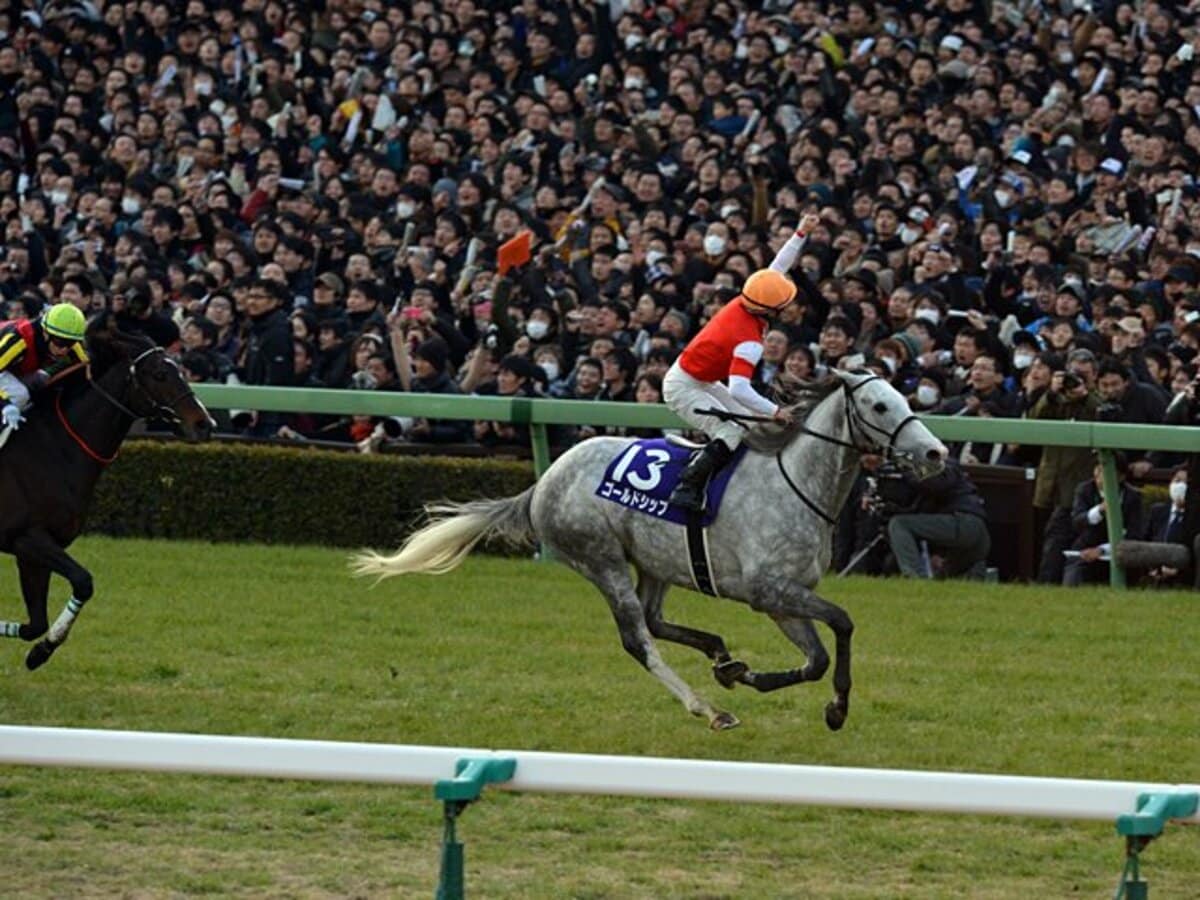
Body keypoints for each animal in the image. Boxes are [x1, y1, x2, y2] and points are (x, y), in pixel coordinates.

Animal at [0, 321, 213, 672]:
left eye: (180, 370)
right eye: (160, 374)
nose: (205, 423)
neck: (53, 447)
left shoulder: (33, 546)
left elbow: (36, 624)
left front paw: (38, 652)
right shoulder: (27, 537)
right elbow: (83, 581)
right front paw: (43, 650)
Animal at [350, 374, 950, 734]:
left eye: (907, 400)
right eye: (879, 405)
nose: (936, 453)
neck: (796, 481)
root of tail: (545, 481)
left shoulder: (783, 598)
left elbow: (817, 657)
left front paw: (756, 678)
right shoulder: (767, 591)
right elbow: (842, 625)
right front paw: (836, 706)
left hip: (659, 562)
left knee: (657, 620)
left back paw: (722, 657)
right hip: (601, 560)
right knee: (639, 639)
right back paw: (709, 707)